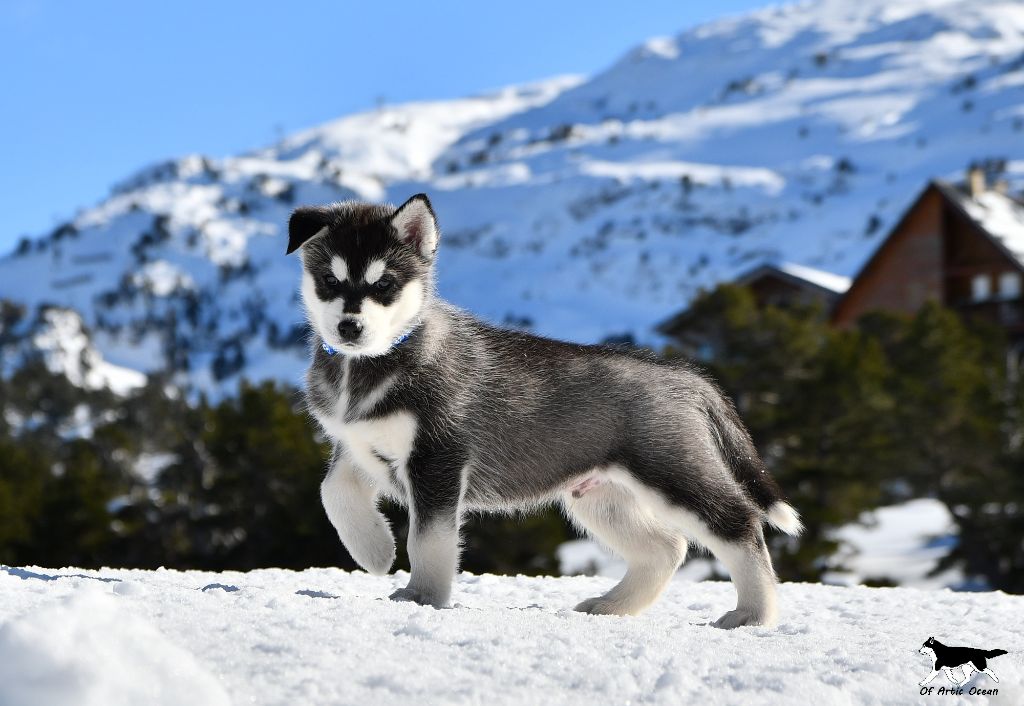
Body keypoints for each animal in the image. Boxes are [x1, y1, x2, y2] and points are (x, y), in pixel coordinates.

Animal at [286, 193, 802, 627]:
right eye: (330, 280)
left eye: (386, 285)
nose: (349, 327)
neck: (371, 364)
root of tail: (687, 378)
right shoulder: (356, 445)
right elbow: (332, 492)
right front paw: (374, 550)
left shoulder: (438, 457)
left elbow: (428, 538)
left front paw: (422, 597)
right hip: (598, 496)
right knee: (666, 548)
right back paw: (612, 606)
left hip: (672, 473)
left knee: (738, 525)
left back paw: (753, 614)